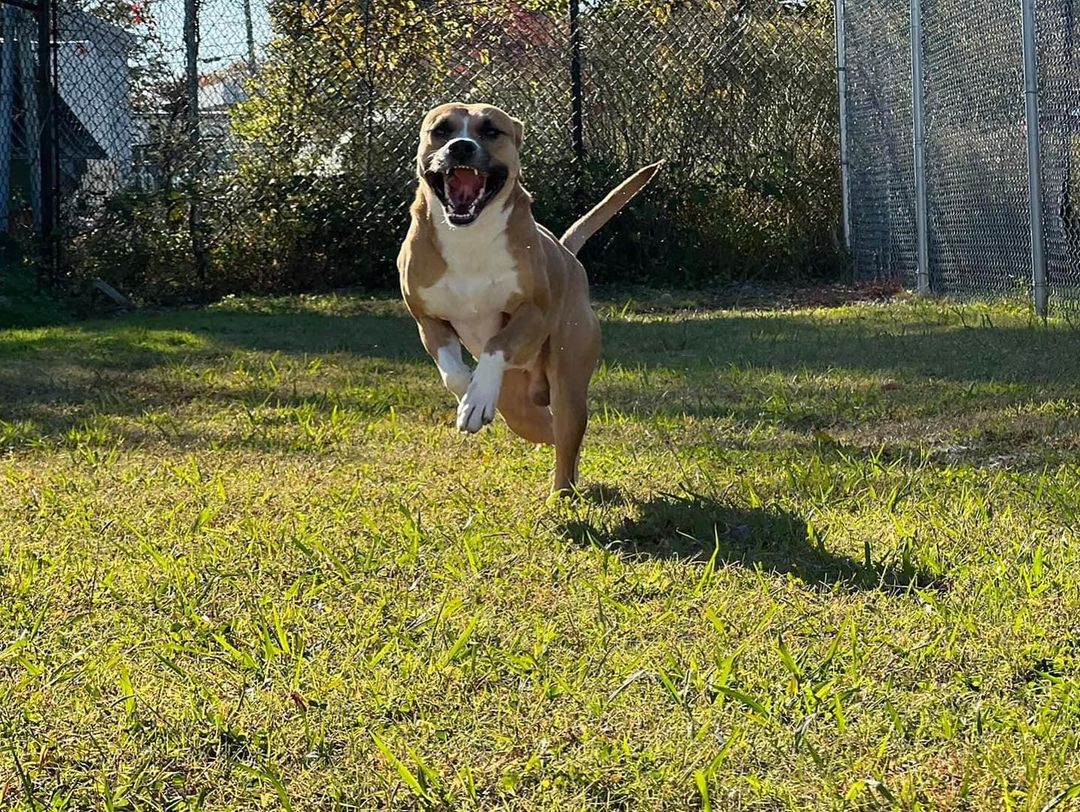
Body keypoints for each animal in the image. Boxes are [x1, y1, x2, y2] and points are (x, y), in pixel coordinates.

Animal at [401, 103, 660, 494]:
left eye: (491, 131)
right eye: (441, 130)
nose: (461, 147)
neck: (469, 236)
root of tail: (566, 253)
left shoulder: (534, 312)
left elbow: (498, 343)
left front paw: (475, 397)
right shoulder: (427, 320)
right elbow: (454, 373)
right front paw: (471, 399)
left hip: (569, 379)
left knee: (567, 434)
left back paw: (562, 493)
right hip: (519, 405)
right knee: (544, 427)